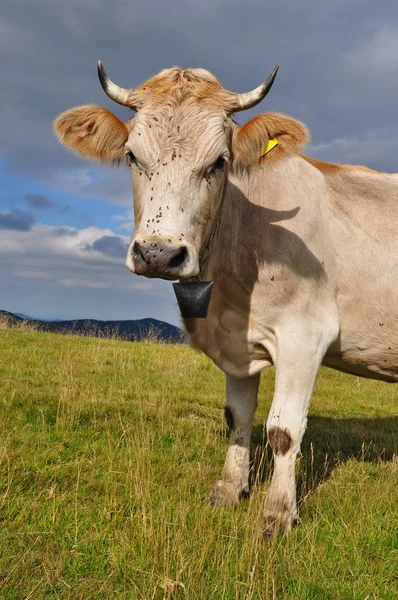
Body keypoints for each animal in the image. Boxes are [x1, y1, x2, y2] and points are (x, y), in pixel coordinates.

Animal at [53, 63, 398, 536]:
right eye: (132, 156)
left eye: (219, 162)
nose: (158, 253)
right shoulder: (237, 337)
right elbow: (237, 416)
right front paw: (230, 490)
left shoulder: (305, 335)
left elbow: (284, 429)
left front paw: (278, 514)